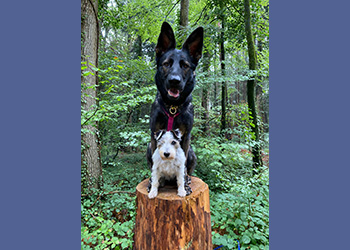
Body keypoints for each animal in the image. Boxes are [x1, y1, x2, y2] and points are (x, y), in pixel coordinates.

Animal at [146, 22, 204, 191]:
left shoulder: (186, 137)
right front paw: (154, 182)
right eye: (166, 64)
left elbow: (182, 165)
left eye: (185, 66)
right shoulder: (154, 134)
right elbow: (155, 163)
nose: (174, 80)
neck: (172, 106)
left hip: (192, 152)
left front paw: (183, 183)